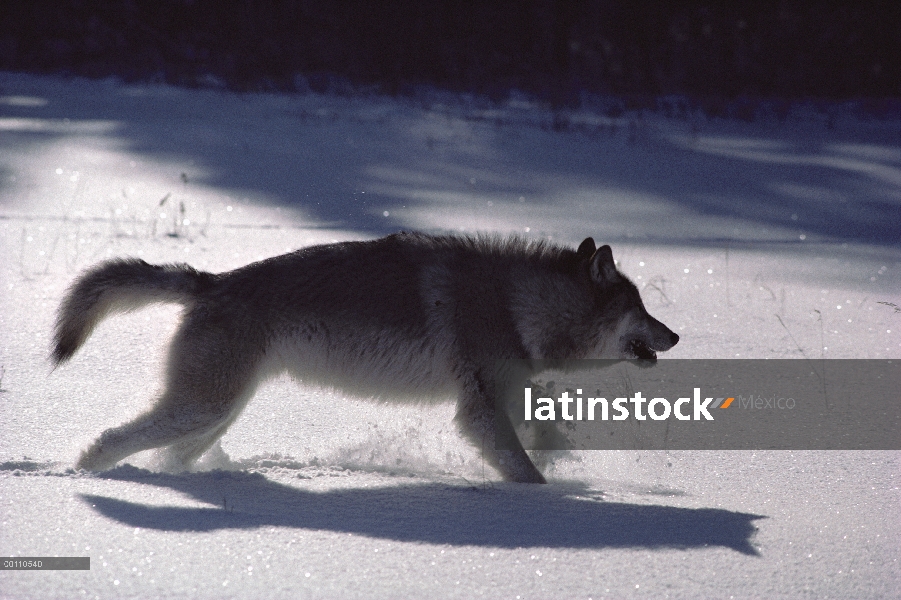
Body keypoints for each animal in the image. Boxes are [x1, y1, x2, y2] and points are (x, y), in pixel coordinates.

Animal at [52, 232, 680, 486]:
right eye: (642, 309)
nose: (675, 336)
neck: (516, 304)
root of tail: (215, 280)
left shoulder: (508, 393)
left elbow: (544, 434)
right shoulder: (479, 410)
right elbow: (525, 472)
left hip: (214, 415)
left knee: (168, 455)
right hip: (203, 409)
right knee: (109, 438)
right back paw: (78, 475)